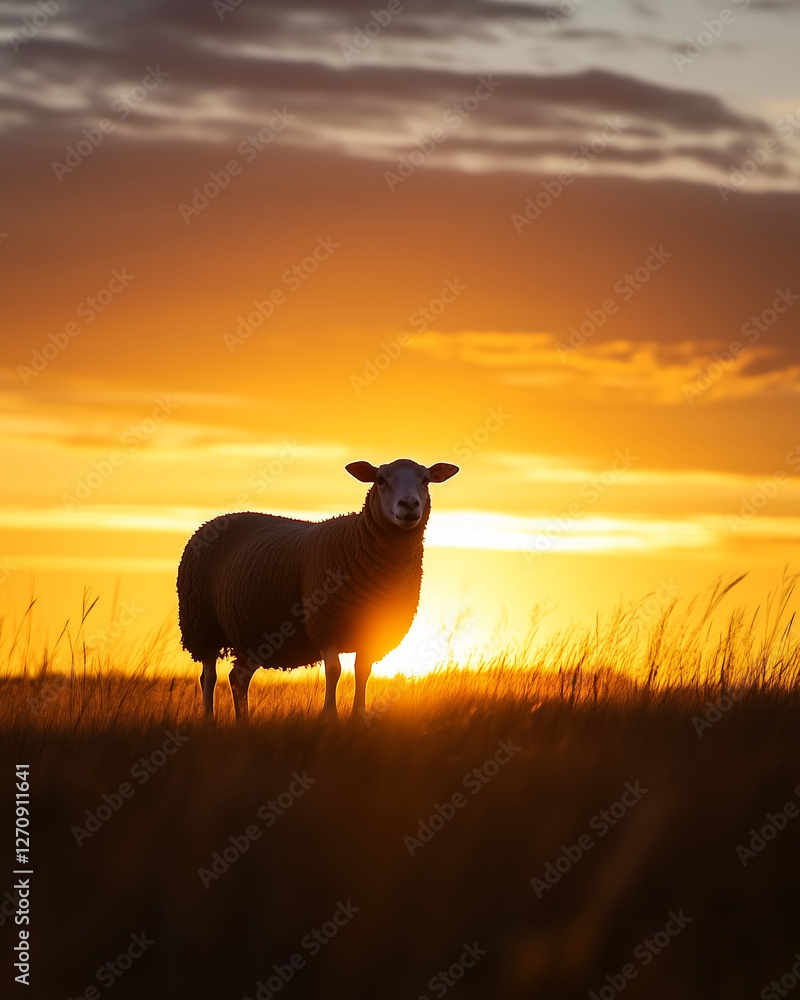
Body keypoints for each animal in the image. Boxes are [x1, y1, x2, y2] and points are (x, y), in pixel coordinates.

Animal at [176, 458, 459, 722]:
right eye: (380, 480)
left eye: (426, 480)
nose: (409, 505)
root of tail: (212, 521)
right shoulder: (324, 624)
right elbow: (334, 671)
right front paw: (329, 716)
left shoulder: (371, 630)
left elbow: (363, 671)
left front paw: (358, 716)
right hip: (202, 625)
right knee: (209, 676)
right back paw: (209, 720)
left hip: (252, 633)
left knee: (238, 677)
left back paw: (243, 722)